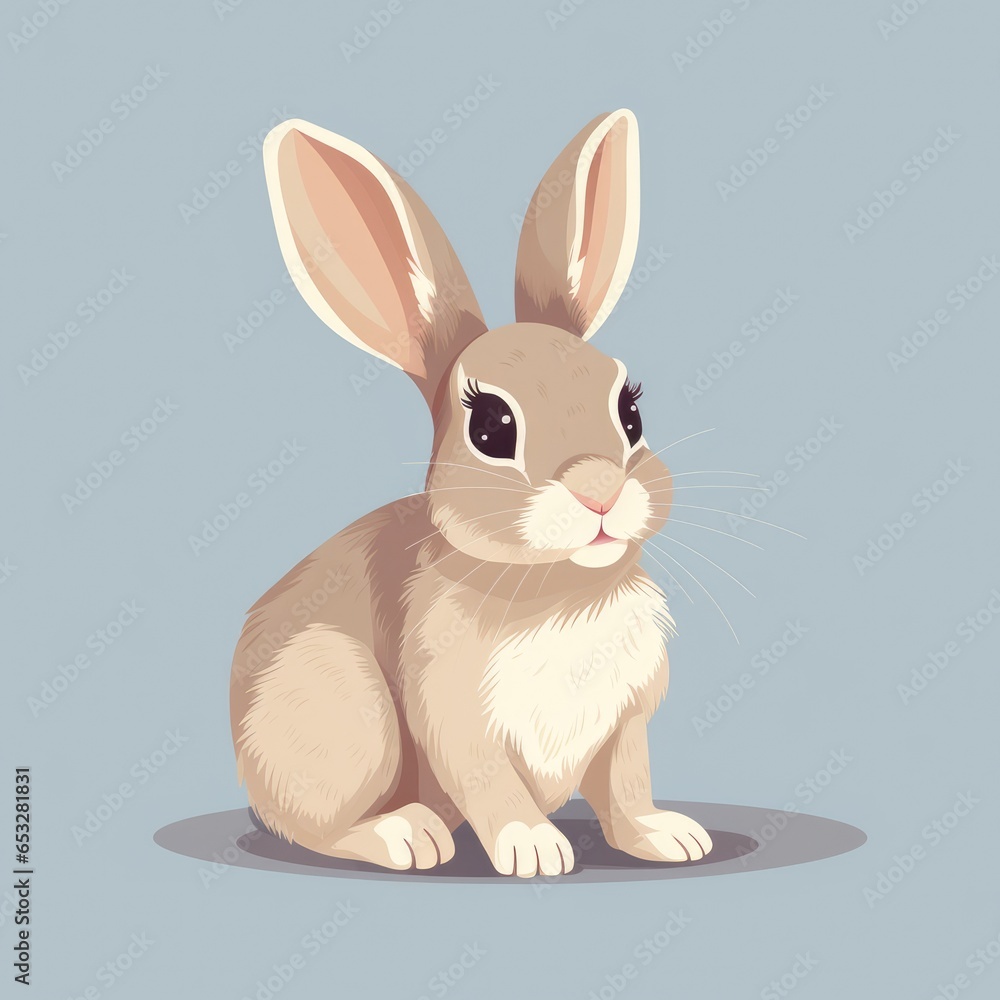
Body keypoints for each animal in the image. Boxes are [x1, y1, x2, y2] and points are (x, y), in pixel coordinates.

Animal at [229, 109, 714, 877]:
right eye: (490, 427)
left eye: (631, 410)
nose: (600, 491)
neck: (560, 588)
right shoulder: (457, 721)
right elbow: (491, 786)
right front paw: (536, 851)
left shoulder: (626, 723)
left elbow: (627, 787)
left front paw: (668, 838)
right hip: (347, 706)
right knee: (313, 827)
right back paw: (406, 836)